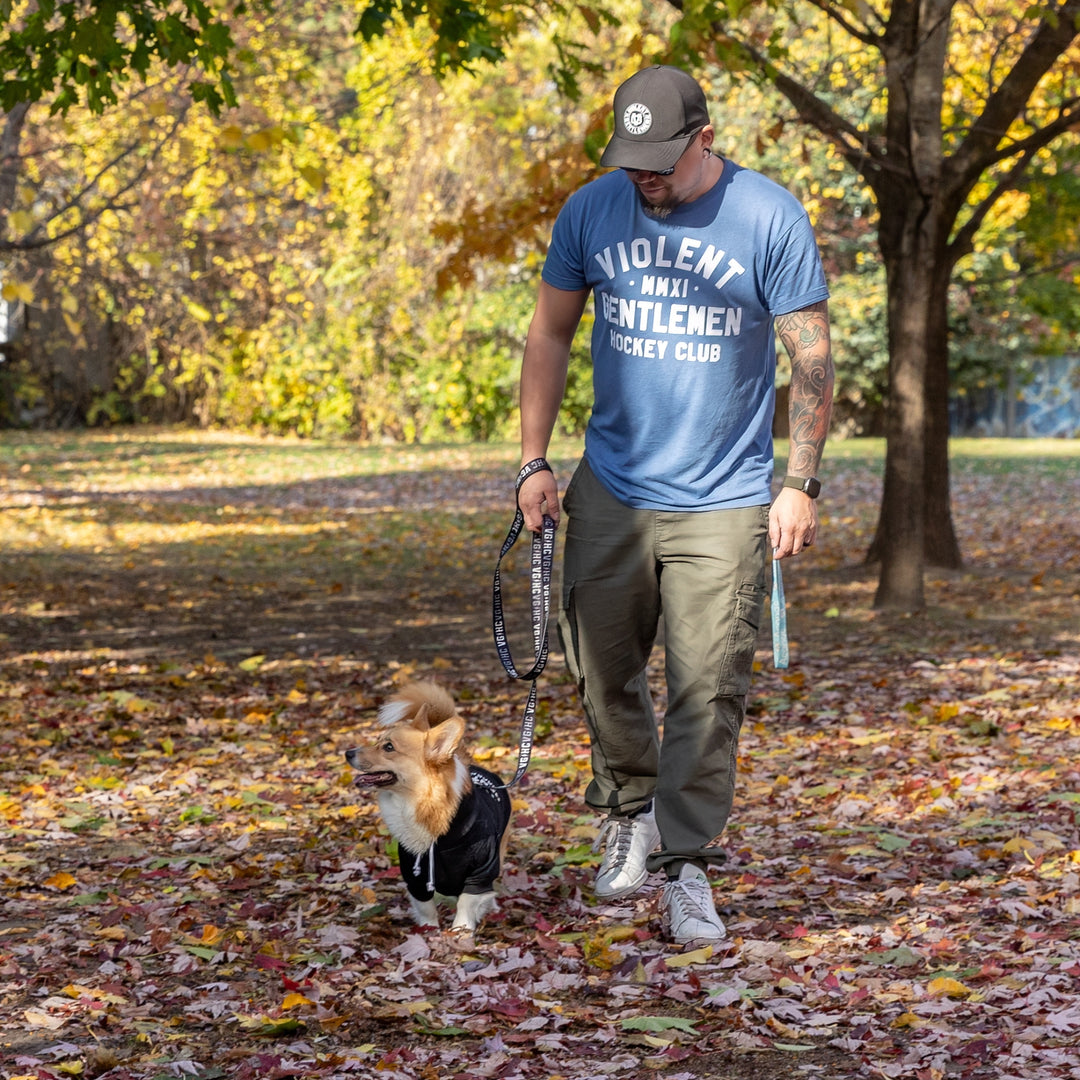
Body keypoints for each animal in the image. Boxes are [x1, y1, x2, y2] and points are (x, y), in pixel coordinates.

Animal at [347, 682, 511, 928]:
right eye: (378, 741)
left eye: (388, 747)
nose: (347, 753)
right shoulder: (414, 874)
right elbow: (426, 907)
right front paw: (428, 929)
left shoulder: (481, 871)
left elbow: (466, 902)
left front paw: (461, 930)